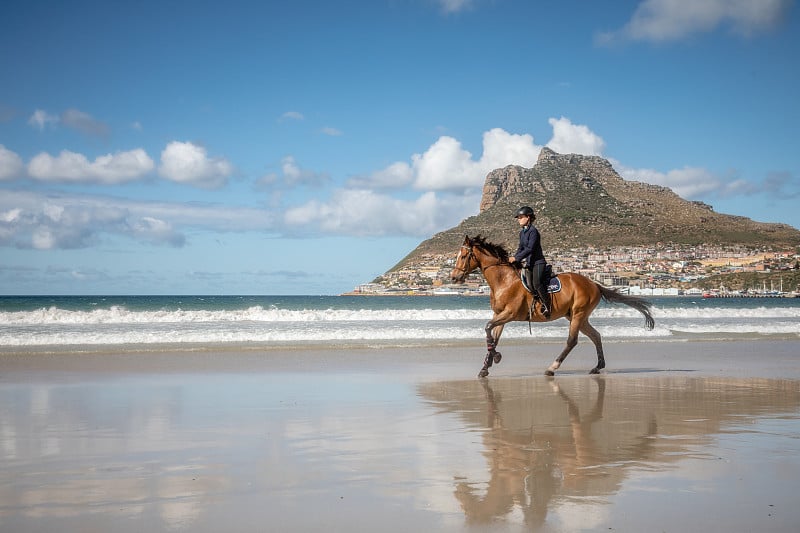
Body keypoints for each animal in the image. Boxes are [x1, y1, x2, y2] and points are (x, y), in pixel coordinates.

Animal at [446, 235, 652, 376]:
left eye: (463, 256)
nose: (454, 278)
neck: (503, 280)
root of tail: (594, 284)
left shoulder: (509, 314)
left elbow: (487, 327)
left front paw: (494, 358)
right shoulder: (500, 315)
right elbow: (492, 336)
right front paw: (486, 367)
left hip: (578, 314)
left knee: (572, 341)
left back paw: (552, 367)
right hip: (577, 316)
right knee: (596, 336)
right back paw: (597, 367)